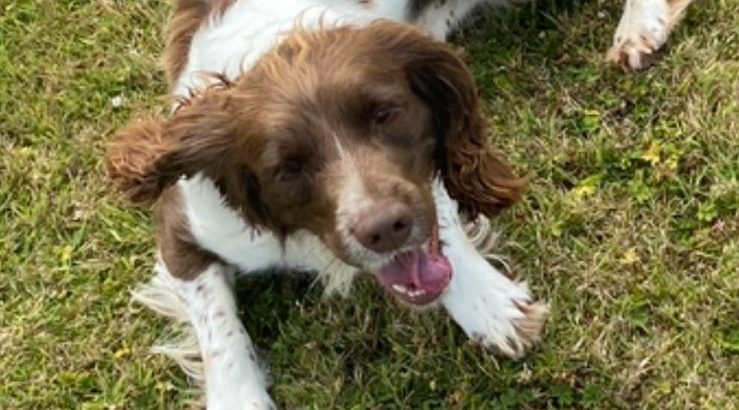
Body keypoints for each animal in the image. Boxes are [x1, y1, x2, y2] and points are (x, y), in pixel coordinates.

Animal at [108, 1, 692, 408]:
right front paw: (237, 396)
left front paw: (489, 304)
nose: (383, 228)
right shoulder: (184, 227)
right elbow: (219, 330)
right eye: (288, 167)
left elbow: (440, 215)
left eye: (385, 114)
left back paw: (641, 25)